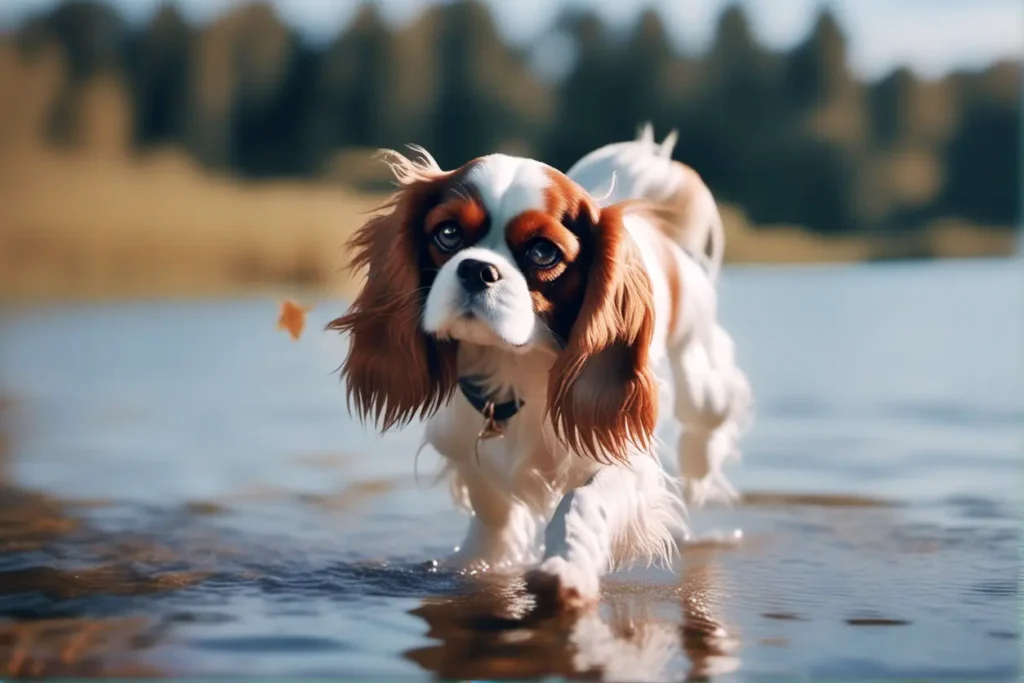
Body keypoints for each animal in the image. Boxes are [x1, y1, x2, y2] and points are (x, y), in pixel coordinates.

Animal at [329, 125, 753, 610]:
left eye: (543, 253)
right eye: (448, 234)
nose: (476, 269)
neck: (514, 364)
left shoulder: (618, 450)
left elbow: (580, 505)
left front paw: (566, 569)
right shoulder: (462, 439)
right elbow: (491, 506)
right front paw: (482, 560)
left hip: (701, 376)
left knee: (711, 410)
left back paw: (701, 467)